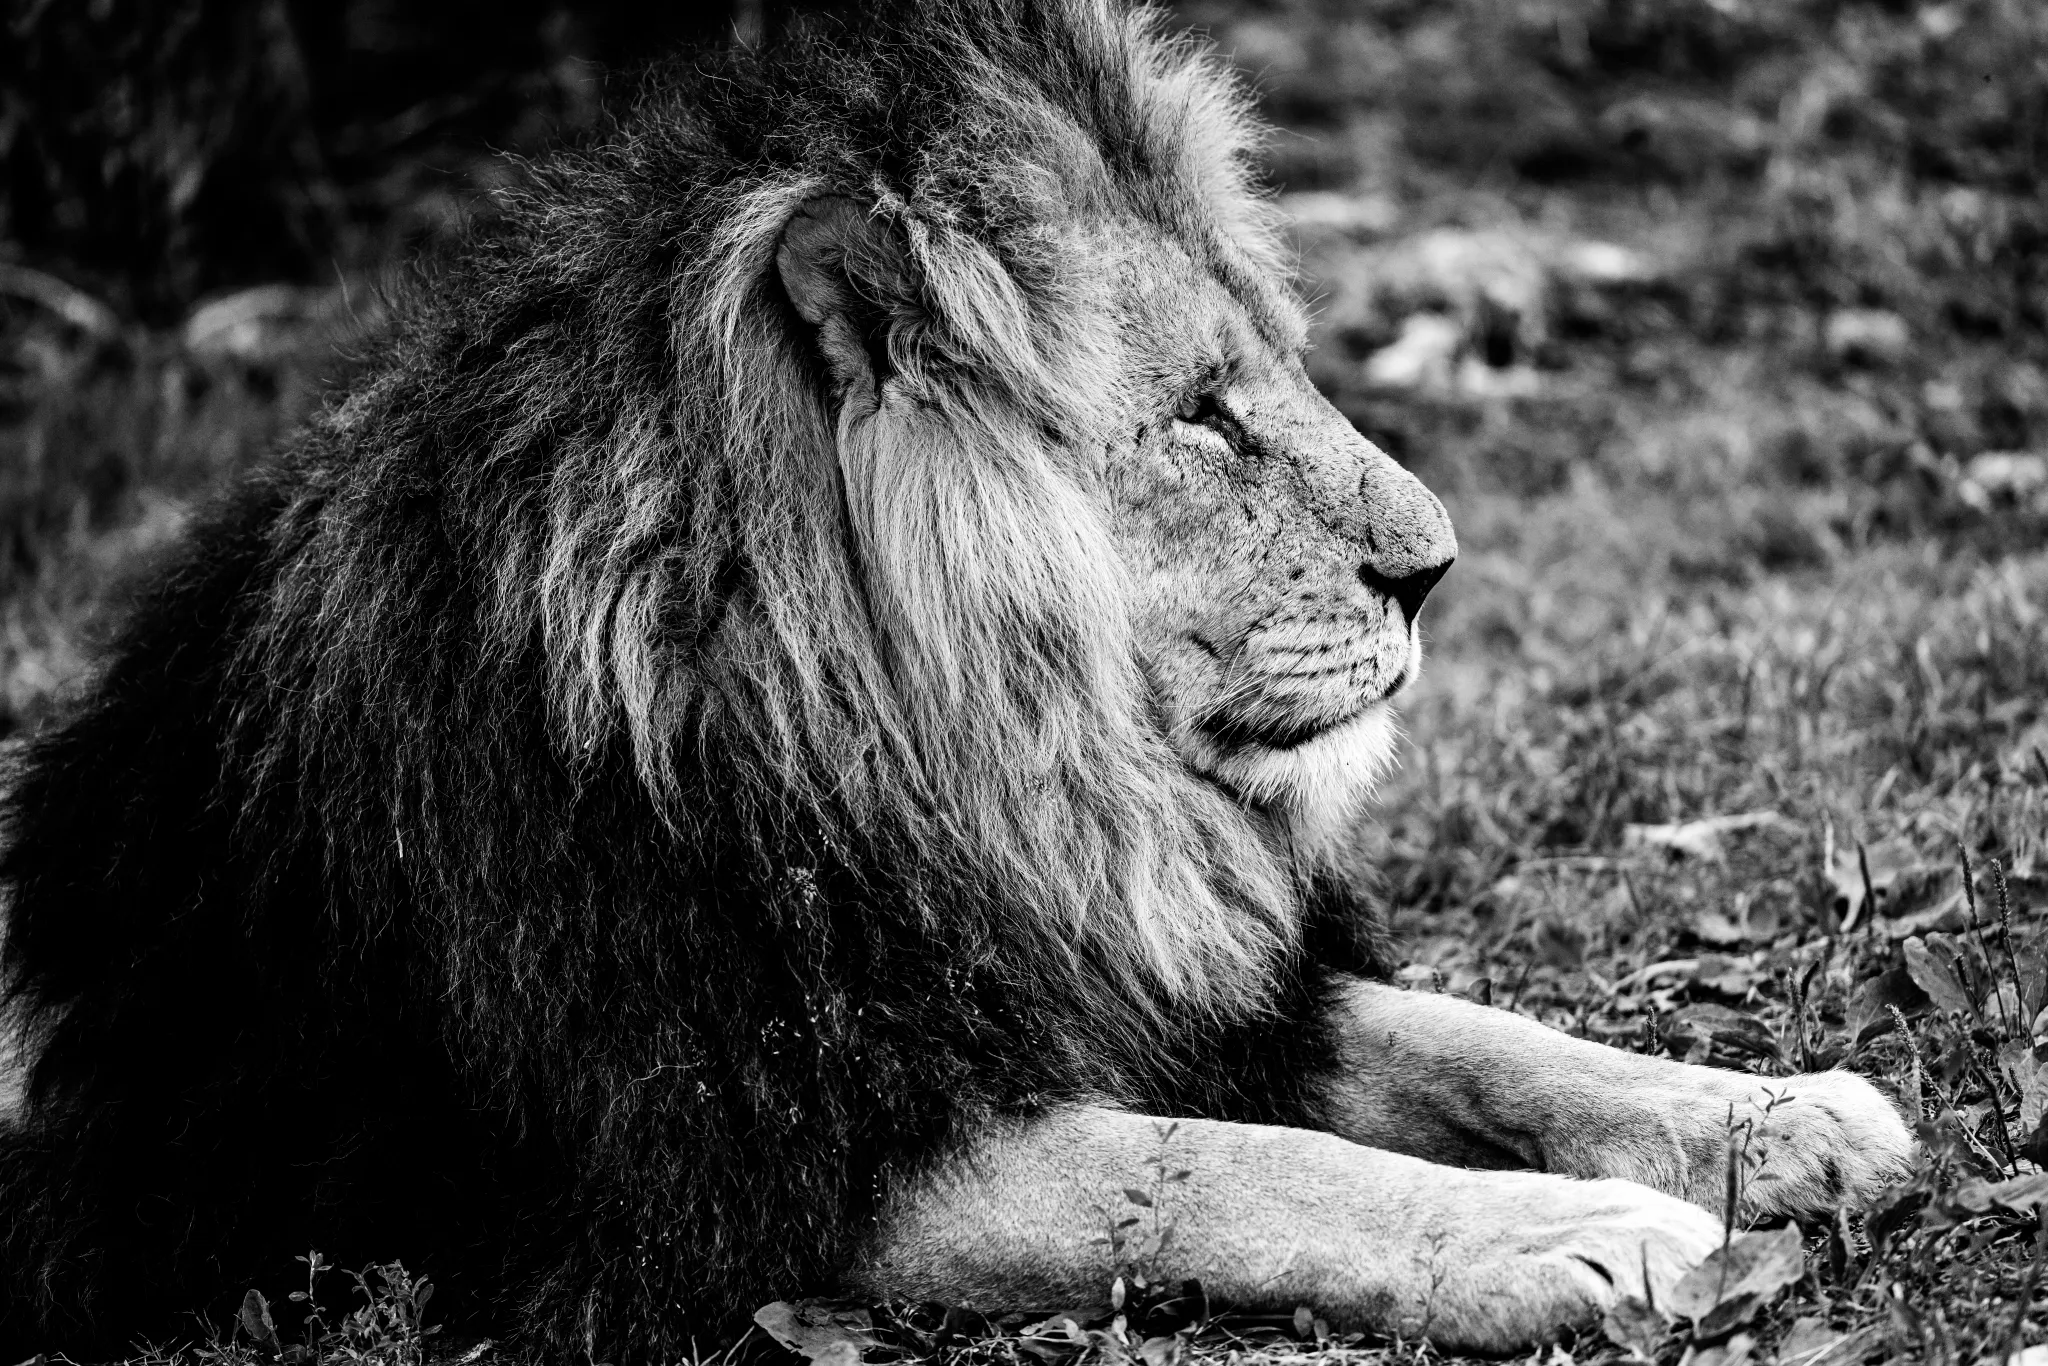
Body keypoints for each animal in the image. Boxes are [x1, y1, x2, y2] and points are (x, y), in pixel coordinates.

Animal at [0, 0, 1913, 1358]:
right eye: (1201, 416)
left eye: (1279, 373)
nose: (1433, 568)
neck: (967, 779)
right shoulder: (760, 1169)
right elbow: (1221, 1170)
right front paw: (1573, 1236)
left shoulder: (1137, 986)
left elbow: (1470, 1034)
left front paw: (1778, 1116)